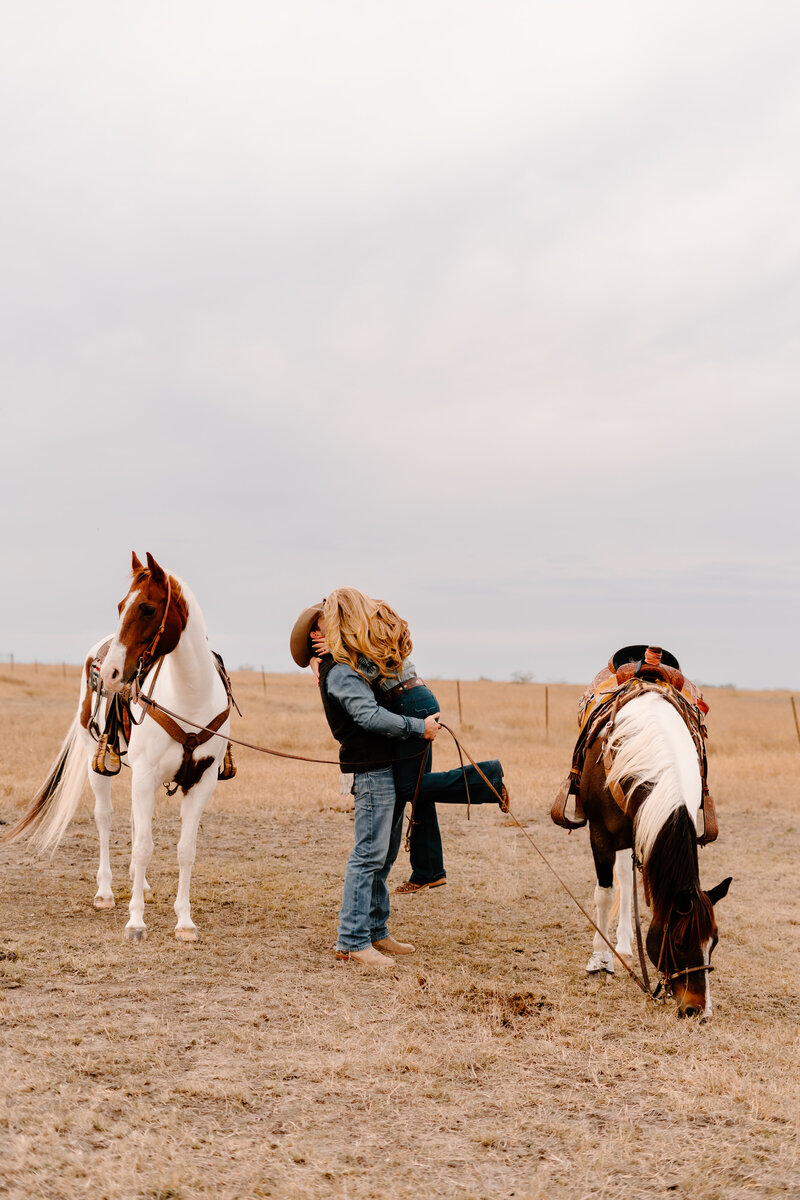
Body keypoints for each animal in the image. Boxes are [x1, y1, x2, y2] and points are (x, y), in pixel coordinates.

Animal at [5, 554, 231, 945]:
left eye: (147, 607)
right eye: (121, 605)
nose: (111, 672)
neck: (190, 698)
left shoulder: (201, 783)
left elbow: (185, 850)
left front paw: (185, 922)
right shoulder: (145, 776)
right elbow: (143, 847)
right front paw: (136, 921)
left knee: (135, 824)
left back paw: (144, 886)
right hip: (98, 763)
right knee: (106, 818)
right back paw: (106, 891)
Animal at [563, 652, 734, 1017]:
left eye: (714, 941)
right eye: (680, 942)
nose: (699, 1010)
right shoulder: (601, 834)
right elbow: (605, 894)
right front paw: (600, 960)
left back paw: (626, 943)